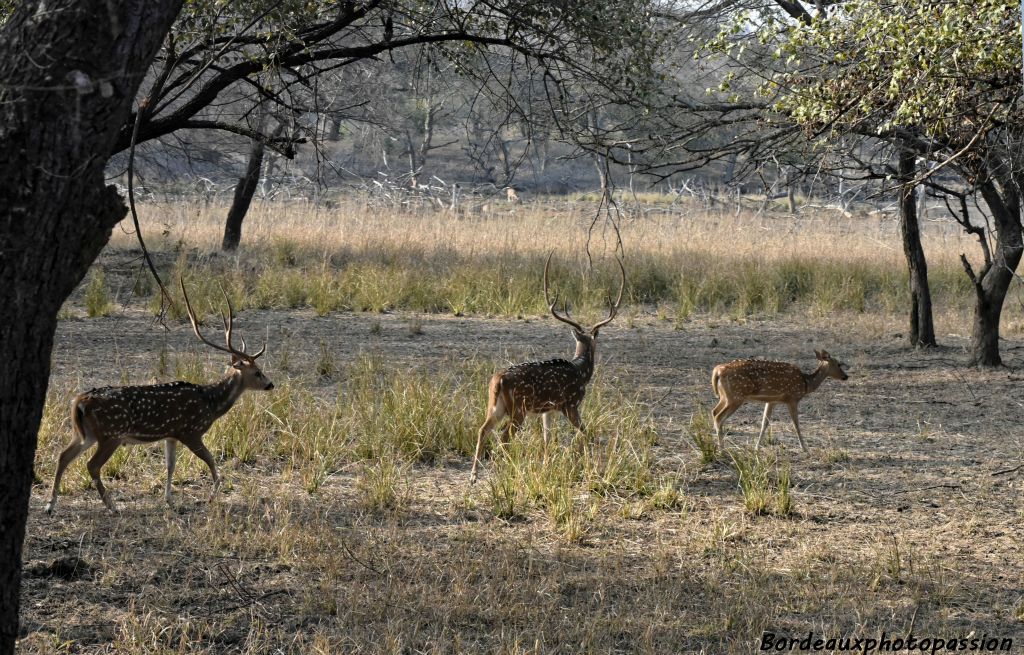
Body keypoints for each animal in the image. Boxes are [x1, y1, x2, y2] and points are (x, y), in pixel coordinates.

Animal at [45, 278, 272, 513]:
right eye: (257, 372)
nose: (270, 384)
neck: (211, 403)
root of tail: (80, 401)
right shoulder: (191, 431)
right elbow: (210, 461)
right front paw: (211, 497)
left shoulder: (171, 435)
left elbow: (170, 466)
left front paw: (169, 499)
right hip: (111, 433)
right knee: (91, 464)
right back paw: (111, 505)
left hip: (86, 433)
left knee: (63, 456)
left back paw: (50, 504)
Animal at [468, 253, 626, 483]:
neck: (581, 372)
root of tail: (498, 380)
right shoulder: (570, 404)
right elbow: (585, 433)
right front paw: (589, 467)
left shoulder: (548, 409)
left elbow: (547, 438)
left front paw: (545, 467)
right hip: (519, 408)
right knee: (504, 436)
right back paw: (508, 469)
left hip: (495, 405)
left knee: (483, 429)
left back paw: (473, 475)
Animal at [712, 350, 847, 452]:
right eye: (838, 364)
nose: (846, 376)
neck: (806, 384)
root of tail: (718, 371)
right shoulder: (792, 398)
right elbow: (796, 424)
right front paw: (804, 448)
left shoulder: (772, 401)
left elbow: (764, 423)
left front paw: (756, 447)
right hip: (736, 397)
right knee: (719, 417)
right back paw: (722, 448)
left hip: (725, 397)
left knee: (714, 412)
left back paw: (719, 446)